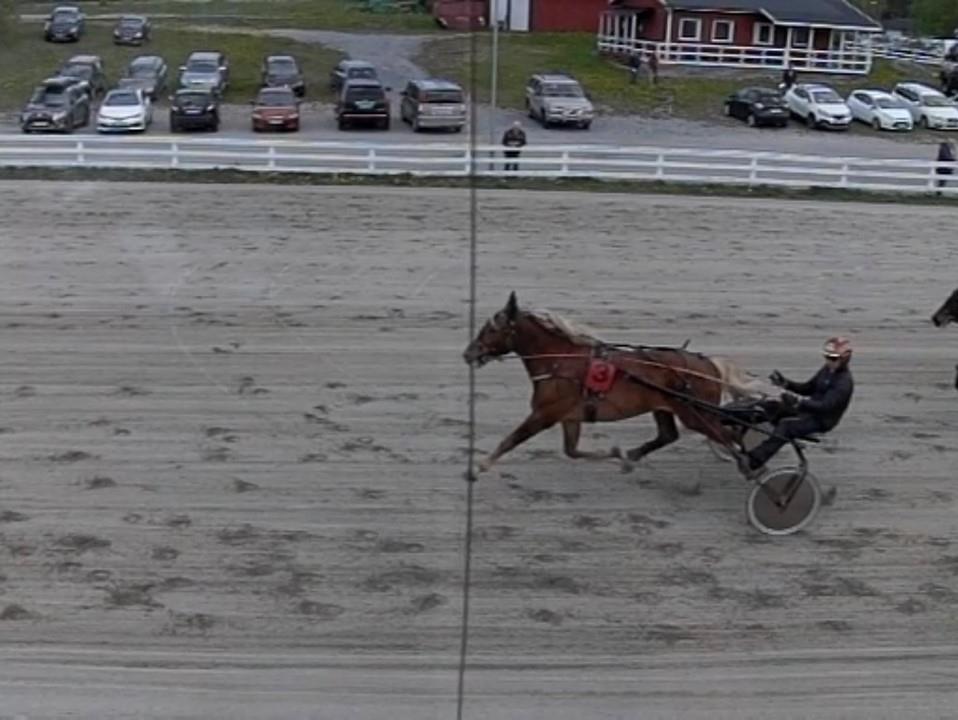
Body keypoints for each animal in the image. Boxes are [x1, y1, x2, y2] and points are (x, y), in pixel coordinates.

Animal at [464, 292, 764, 472]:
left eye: (490, 329)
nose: (468, 353)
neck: (559, 361)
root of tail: (709, 364)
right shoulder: (570, 416)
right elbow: (572, 451)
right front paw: (617, 454)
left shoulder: (545, 413)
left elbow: (511, 440)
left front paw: (480, 466)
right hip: (664, 407)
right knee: (670, 435)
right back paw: (633, 456)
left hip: (694, 413)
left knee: (729, 435)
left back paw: (748, 462)